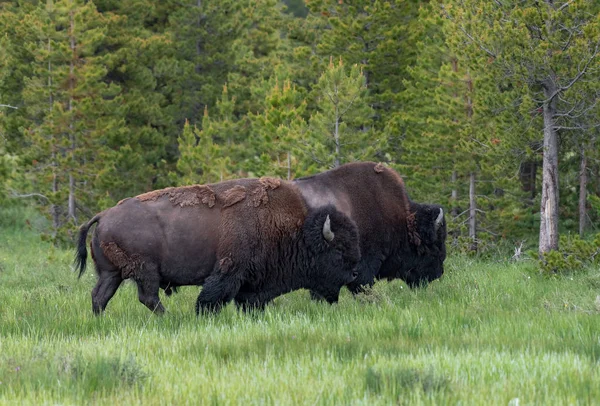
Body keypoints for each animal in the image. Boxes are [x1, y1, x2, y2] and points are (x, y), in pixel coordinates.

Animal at [72, 177, 358, 314]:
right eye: (338, 251)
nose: (355, 273)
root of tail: (103, 215)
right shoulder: (228, 271)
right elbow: (211, 298)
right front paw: (201, 315)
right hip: (145, 270)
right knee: (147, 297)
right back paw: (170, 317)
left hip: (112, 273)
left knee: (100, 296)